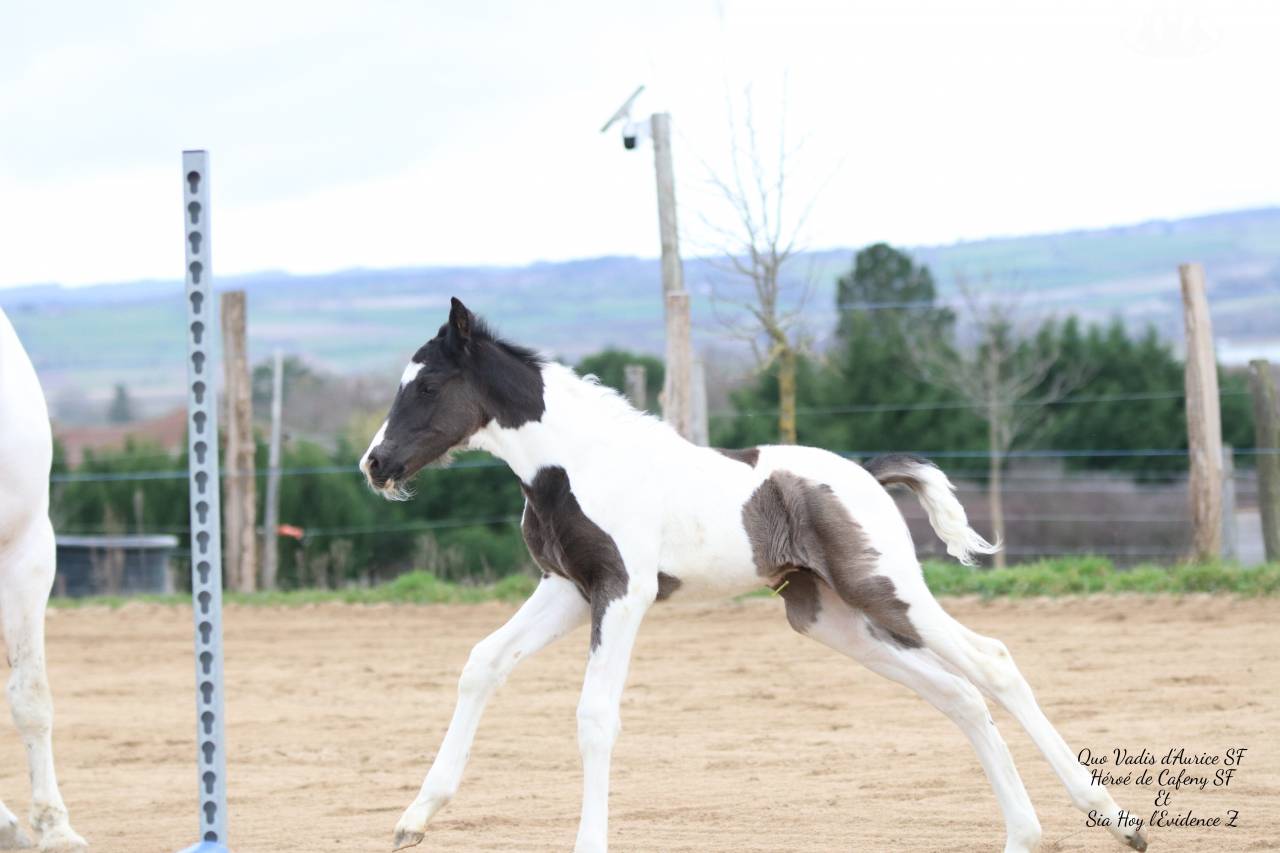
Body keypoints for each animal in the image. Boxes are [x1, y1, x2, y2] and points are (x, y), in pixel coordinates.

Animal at [361, 298, 1146, 853]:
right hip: (829, 617)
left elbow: (594, 715)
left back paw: (1115, 817)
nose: (375, 463)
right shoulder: (567, 589)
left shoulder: (623, 591)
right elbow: (482, 663)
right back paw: (1023, 835)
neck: (575, 463)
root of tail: (868, 473)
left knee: (994, 663)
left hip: (886, 592)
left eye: (427, 386)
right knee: (958, 694)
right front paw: (414, 818)